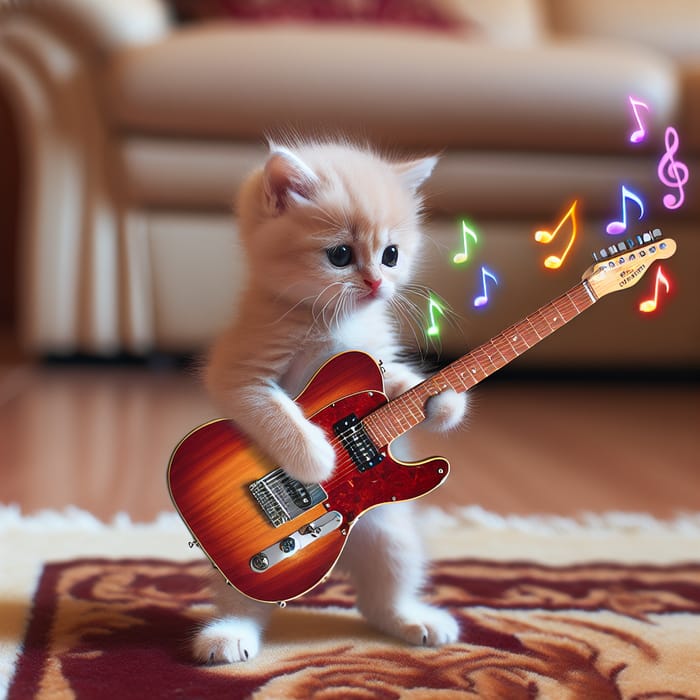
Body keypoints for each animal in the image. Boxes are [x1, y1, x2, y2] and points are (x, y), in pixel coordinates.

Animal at [194, 139, 468, 664]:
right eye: (340, 255)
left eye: (391, 255)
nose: (377, 283)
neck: (332, 320)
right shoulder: (241, 372)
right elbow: (276, 412)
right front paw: (318, 459)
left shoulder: (378, 361)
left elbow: (402, 383)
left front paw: (444, 404)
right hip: (249, 569)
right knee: (245, 603)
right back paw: (227, 635)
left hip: (392, 536)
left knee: (380, 599)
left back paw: (413, 619)